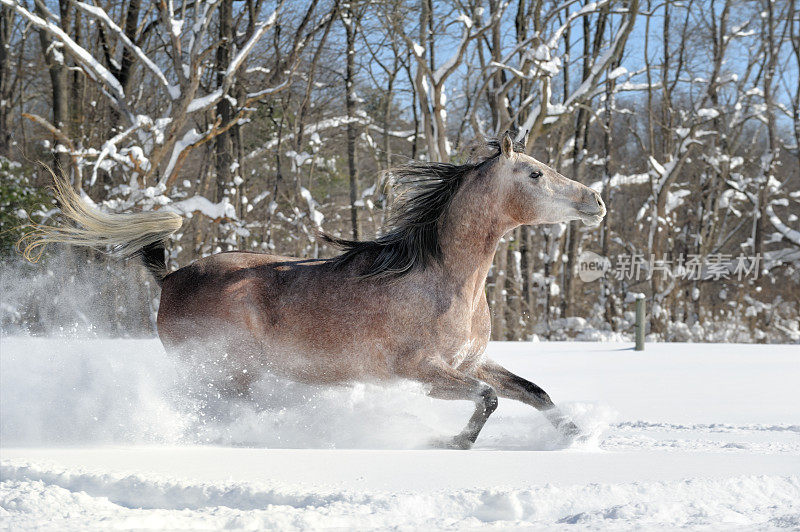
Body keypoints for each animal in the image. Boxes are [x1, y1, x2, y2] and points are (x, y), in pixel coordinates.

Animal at [20, 136, 608, 448]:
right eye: (534, 173)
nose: (596, 201)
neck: (443, 280)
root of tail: (170, 277)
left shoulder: (471, 361)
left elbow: (533, 392)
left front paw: (579, 435)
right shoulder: (423, 373)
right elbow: (488, 399)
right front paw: (453, 442)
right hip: (224, 372)